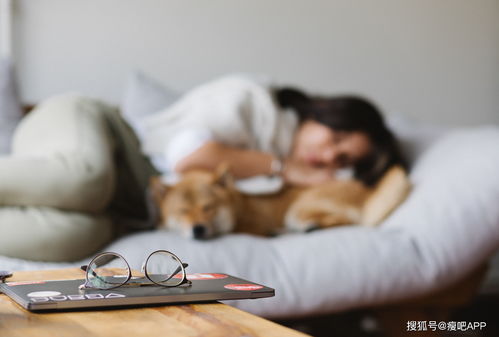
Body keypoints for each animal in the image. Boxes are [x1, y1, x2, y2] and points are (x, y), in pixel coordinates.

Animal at [151, 163, 410, 238]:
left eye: (208, 208)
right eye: (182, 211)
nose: (198, 229)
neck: (238, 206)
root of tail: (368, 192)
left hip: (297, 209)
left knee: (347, 221)